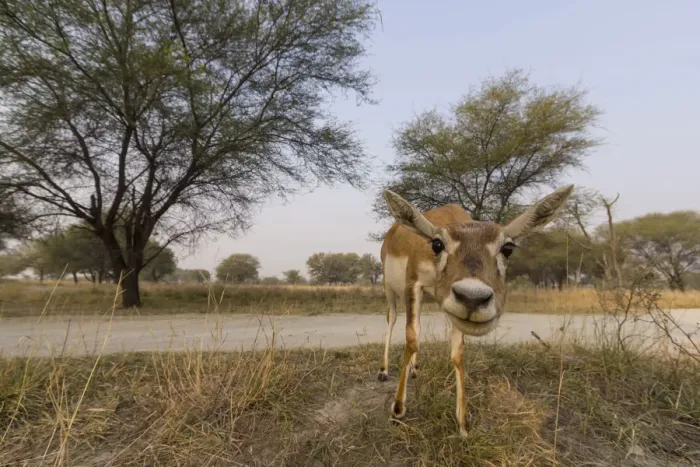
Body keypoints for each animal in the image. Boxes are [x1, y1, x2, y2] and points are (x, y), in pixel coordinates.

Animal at [378, 185, 574, 436]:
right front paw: (398, 410)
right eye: (437, 244)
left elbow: (457, 352)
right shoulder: (413, 284)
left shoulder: (452, 309)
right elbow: (411, 338)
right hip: (390, 289)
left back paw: (414, 369)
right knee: (392, 318)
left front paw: (462, 423)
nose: (473, 297)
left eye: (508, 248)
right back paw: (383, 371)